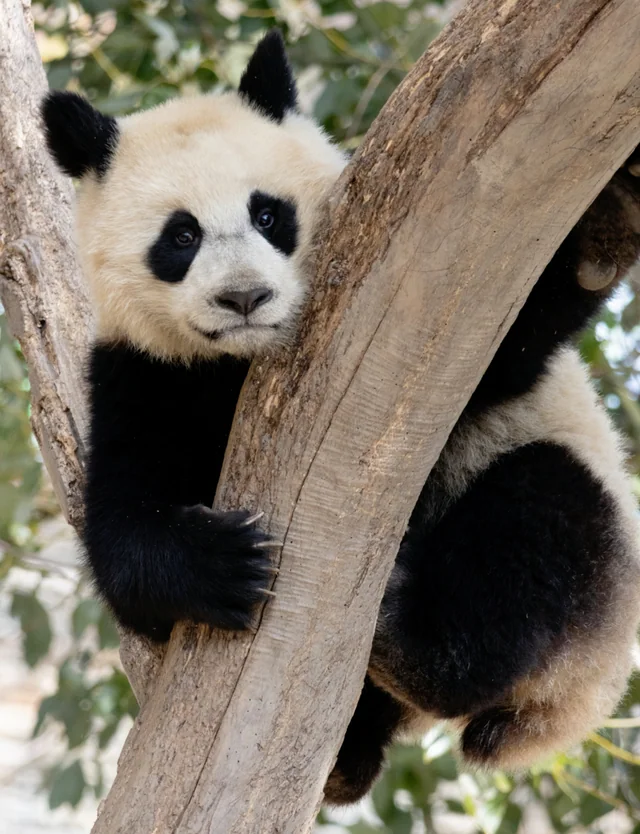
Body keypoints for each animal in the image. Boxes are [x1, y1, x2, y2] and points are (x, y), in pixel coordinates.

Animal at [41, 30, 640, 807]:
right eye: (181, 237)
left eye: (269, 214)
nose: (244, 298)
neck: (242, 364)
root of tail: (568, 708)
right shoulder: (144, 375)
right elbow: (123, 538)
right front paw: (228, 563)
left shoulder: (437, 341)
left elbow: (504, 341)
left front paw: (607, 221)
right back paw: (345, 760)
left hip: (586, 561)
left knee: (539, 522)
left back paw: (413, 646)